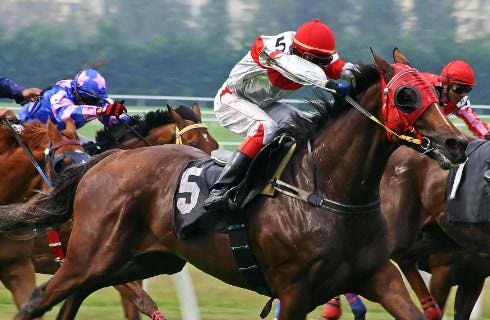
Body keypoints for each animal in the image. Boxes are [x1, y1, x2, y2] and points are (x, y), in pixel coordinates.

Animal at [3, 48, 468, 318]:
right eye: (406, 96)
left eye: (436, 91)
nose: (457, 142)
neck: (326, 191)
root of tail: (104, 163)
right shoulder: (295, 291)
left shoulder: (377, 275)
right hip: (91, 254)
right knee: (39, 299)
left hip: (139, 260)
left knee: (75, 297)